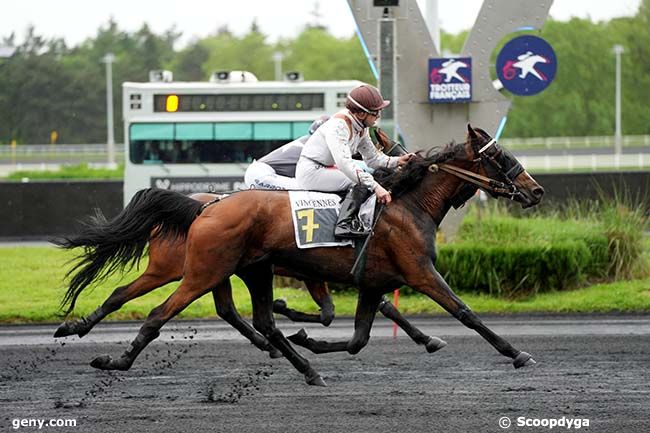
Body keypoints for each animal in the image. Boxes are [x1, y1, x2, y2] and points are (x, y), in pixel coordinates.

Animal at [54, 194, 446, 356]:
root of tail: (197, 206)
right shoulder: (322, 271)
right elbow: (339, 311)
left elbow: (376, 307)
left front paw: (428, 338)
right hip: (178, 269)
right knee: (124, 293)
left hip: (211, 272)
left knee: (224, 310)